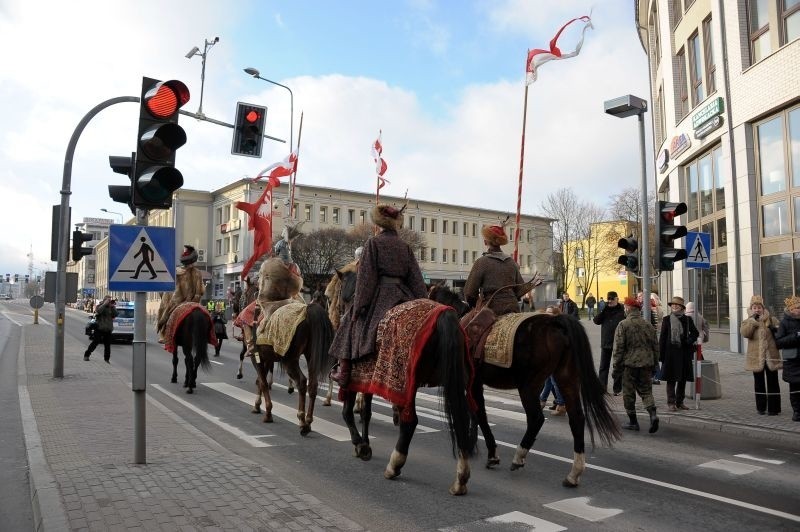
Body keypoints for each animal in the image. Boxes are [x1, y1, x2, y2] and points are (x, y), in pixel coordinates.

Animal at [241, 300, 334, 436]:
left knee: (301, 382)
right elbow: (260, 381)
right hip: (311, 356)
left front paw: (267, 413)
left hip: (289, 360)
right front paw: (257, 406)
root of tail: (307, 310)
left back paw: (302, 421)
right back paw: (308, 422)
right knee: (312, 385)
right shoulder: (267, 359)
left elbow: (263, 382)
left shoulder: (256, 358)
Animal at [328, 268, 478, 496]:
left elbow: (348, 412)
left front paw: (360, 445)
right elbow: (366, 413)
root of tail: (446, 316)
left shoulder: (355, 379)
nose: (338, 316)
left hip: (409, 384)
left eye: (339, 294)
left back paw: (394, 464)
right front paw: (365, 444)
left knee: (411, 423)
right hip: (455, 383)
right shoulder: (368, 379)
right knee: (461, 419)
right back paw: (461, 478)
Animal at [428, 284, 620, 488]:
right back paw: (573, 474)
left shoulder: (472, 384)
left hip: (529, 386)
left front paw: (488, 453)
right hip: (566, 379)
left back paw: (519, 457)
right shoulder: (475, 384)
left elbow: (479, 415)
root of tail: (556, 321)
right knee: (576, 418)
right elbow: (477, 414)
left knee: (536, 419)